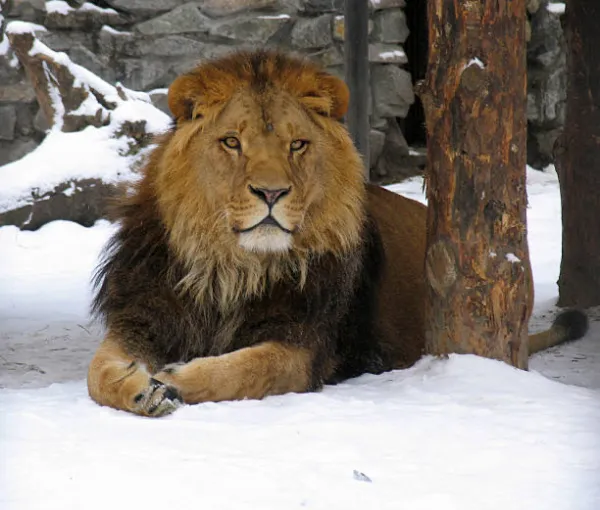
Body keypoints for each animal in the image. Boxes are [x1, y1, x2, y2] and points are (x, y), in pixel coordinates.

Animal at [86, 49, 588, 416]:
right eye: (231, 142)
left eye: (297, 145)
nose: (271, 192)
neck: (231, 268)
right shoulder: (142, 316)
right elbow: (98, 372)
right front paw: (140, 387)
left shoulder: (307, 347)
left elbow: (249, 369)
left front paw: (173, 380)